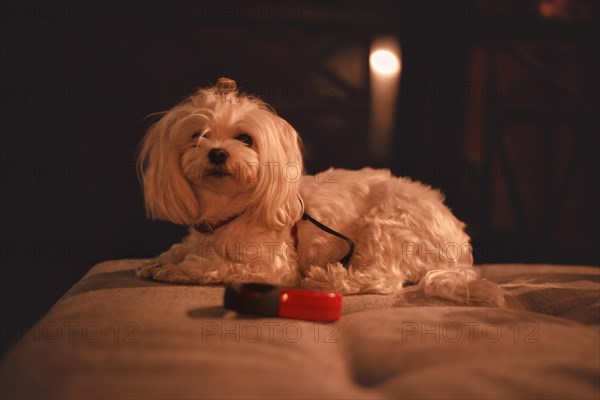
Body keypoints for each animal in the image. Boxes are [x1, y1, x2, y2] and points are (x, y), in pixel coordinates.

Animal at [135, 76, 502, 304]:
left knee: (383, 280)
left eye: (245, 138)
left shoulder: (269, 266)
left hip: (385, 225)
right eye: (197, 136)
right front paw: (161, 260)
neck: (231, 213)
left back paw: (327, 279)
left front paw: (182, 269)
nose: (217, 153)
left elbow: (220, 266)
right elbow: (181, 248)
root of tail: (461, 247)